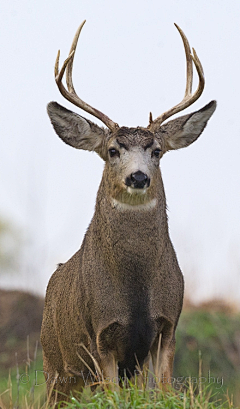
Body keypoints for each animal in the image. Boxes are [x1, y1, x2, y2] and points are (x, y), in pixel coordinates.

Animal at [40, 20, 217, 404]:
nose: (138, 177)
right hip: (54, 367)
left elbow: (162, 390)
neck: (135, 288)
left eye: (157, 151)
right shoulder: (97, 333)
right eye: (112, 150)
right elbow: (110, 396)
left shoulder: (167, 325)